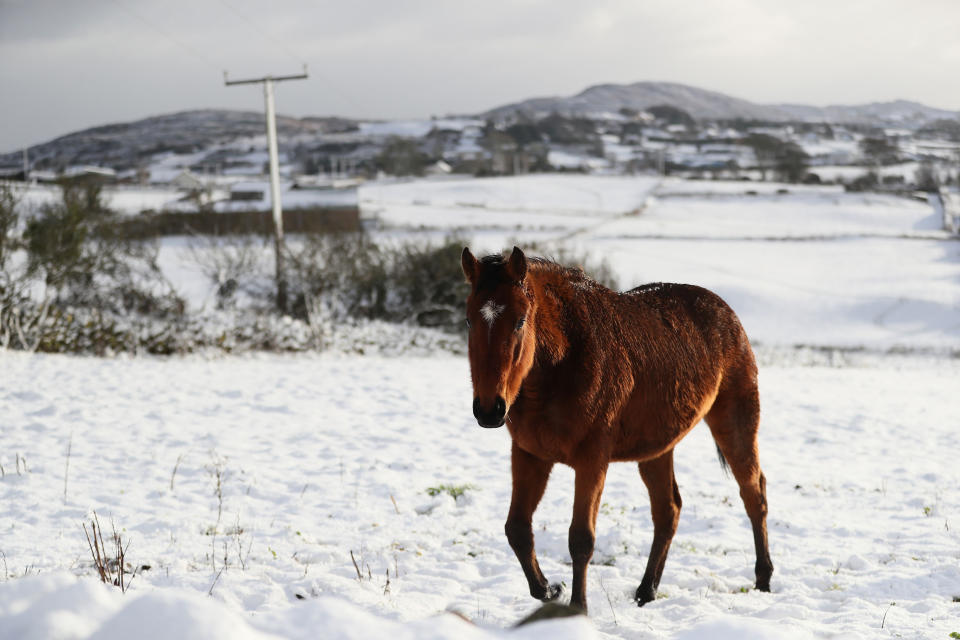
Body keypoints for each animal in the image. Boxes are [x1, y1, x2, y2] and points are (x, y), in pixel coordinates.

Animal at [460, 246, 772, 616]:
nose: (489, 409)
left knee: (753, 494)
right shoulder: (529, 455)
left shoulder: (592, 460)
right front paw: (550, 589)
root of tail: (726, 312)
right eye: (469, 320)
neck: (562, 364)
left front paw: (577, 607)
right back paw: (647, 590)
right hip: (656, 450)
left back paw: (763, 579)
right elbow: (518, 529)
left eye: (520, 321)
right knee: (668, 511)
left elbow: (581, 538)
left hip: (735, 424)